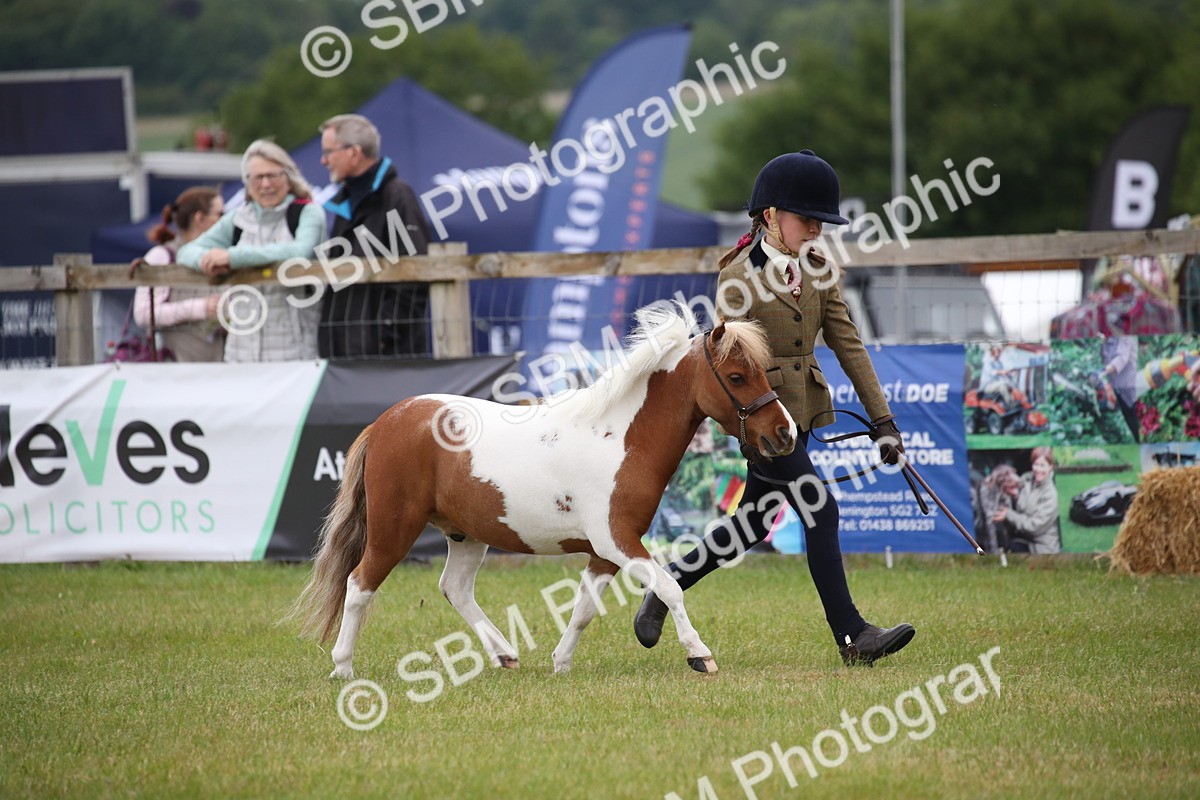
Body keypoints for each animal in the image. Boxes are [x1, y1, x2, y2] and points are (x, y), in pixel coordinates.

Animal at [289, 303, 796, 678]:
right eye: (736, 377)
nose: (785, 434)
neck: (620, 437)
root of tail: (386, 422)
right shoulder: (618, 540)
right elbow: (670, 588)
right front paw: (700, 655)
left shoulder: (604, 552)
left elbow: (585, 608)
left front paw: (561, 663)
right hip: (395, 528)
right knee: (359, 584)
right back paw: (343, 668)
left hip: (465, 533)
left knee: (454, 588)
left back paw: (504, 653)